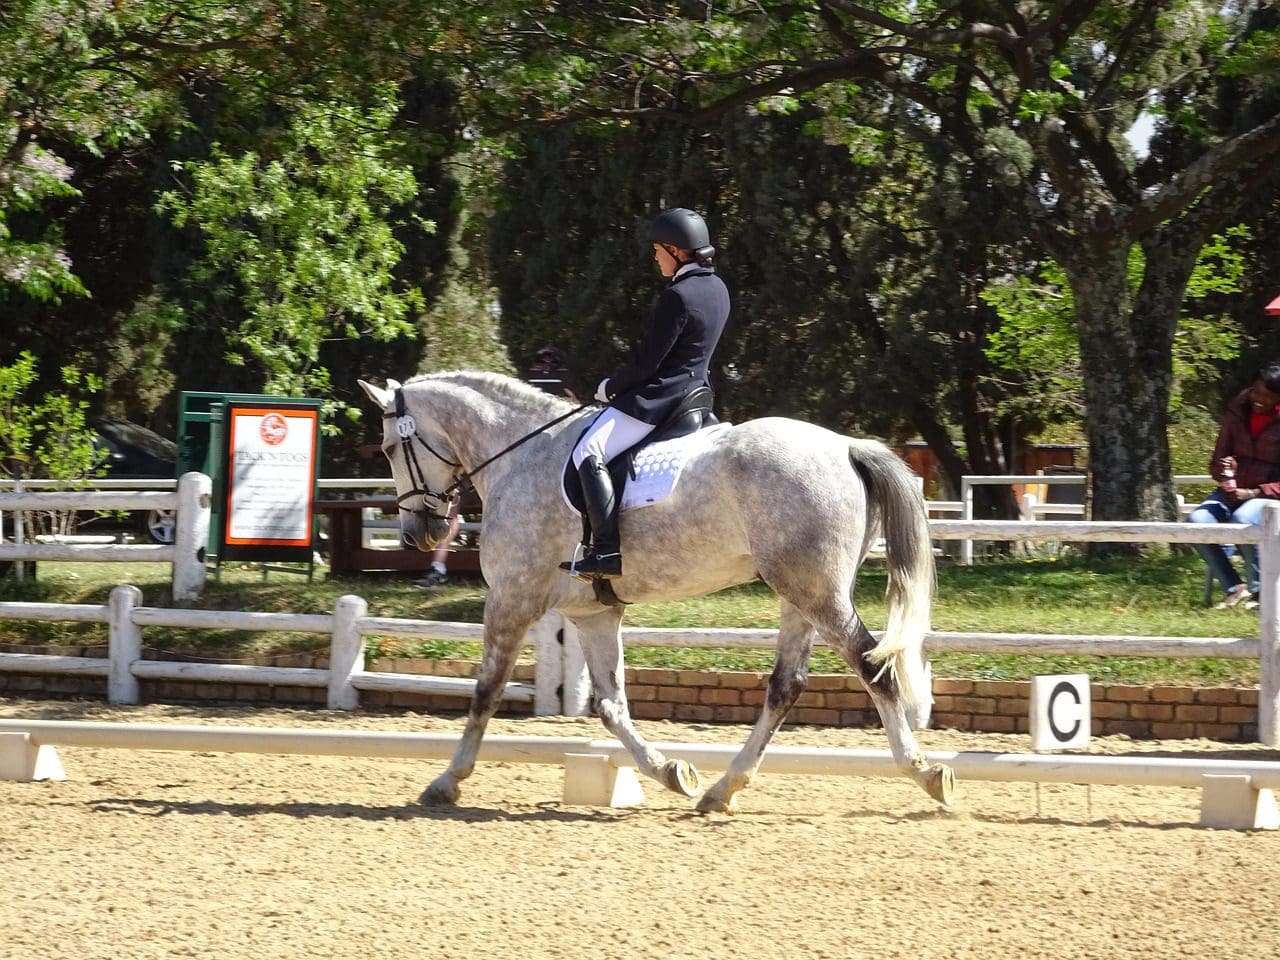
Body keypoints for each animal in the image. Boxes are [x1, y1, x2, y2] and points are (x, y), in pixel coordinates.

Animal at [358, 371, 952, 814]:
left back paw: (924, 773)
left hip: (816, 593)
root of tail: (849, 447)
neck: (519, 456)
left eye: (388, 447)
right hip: (800, 594)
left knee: (871, 666)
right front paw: (671, 772)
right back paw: (722, 789)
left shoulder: (510, 597)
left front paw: (446, 781)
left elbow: (486, 690)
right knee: (787, 685)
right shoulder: (592, 614)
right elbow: (610, 705)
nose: (417, 535)